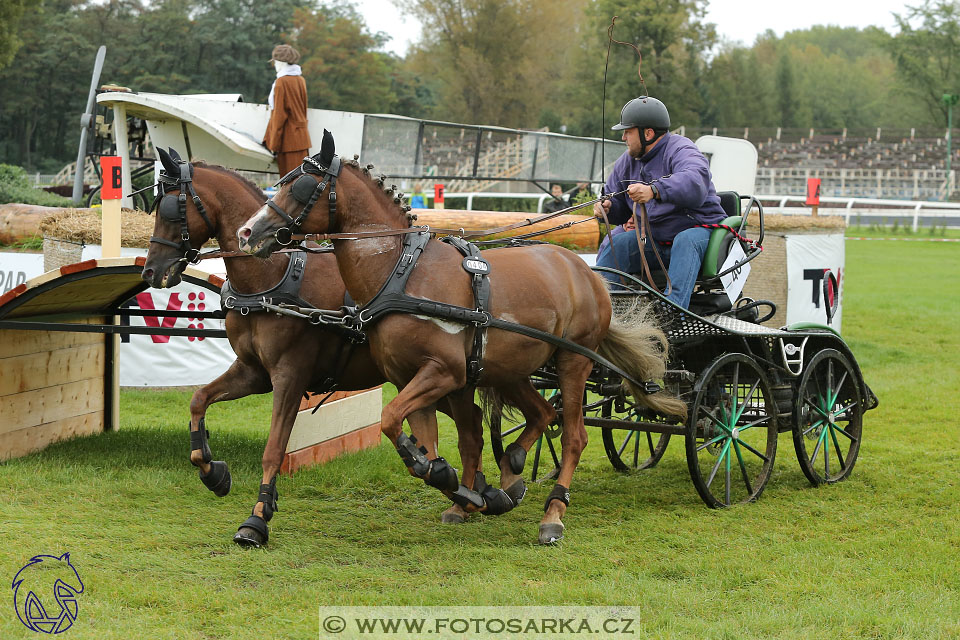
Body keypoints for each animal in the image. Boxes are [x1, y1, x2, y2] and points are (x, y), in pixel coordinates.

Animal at [141, 149, 488, 544]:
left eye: (170, 209)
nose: (150, 271)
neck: (272, 278)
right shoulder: (253, 373)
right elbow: (199, 399)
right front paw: (213, 473)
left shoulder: (290, 377)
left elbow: (274, 449)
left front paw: (257, 518)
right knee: (472, 426)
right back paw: (473, 496)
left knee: (470, 429)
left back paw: (468, 497)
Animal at [236, 132, 688, 544]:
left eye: (300, 185)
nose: (247, 233)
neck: (401, 272)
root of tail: (586, 272)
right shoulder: (410, 379)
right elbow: (421, 440)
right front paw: (464, 489)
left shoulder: (443, 373)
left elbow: (393, 422)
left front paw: (460, 485)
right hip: (510, 369)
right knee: (543, 413)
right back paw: (512, 469)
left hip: (573, 361)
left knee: (574, 435)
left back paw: (553, 515)